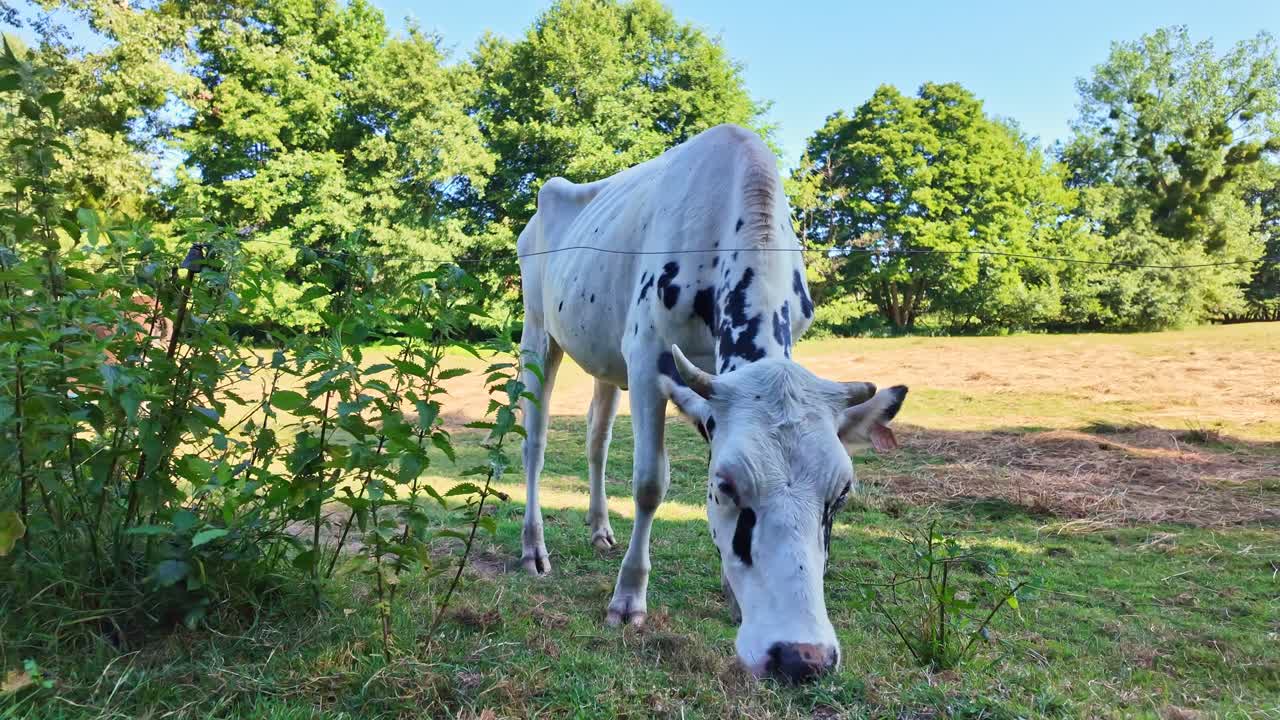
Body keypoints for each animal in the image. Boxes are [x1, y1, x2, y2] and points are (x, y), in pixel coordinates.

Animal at [515, 124, 908, 682]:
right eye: (726, 485)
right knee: (536, 441)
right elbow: (650, 483)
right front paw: (628, 599)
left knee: (596, 438)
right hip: (538, 331)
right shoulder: (647, 356)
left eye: (842, 493)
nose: (802, 657)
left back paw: (599, 529)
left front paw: (734, 595)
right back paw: (533, 548)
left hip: (604, 354)